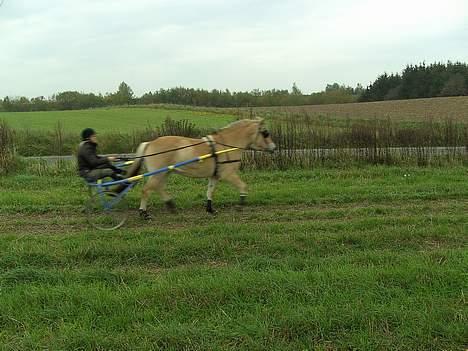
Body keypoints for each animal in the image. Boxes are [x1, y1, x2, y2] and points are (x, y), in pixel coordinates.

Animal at [126, 118, 276, 219]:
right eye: (265, 133)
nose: (274, 148)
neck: (226, 145)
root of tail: (149, 143)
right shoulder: (228, 175)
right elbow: (243, 187)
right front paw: (240, 206)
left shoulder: (215, 176)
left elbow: (210, 191)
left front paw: (210, 209)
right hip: (158, 174)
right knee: (146, 190)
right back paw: (144, 213)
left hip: (164, 173)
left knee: (158, 188)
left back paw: (171, 206)